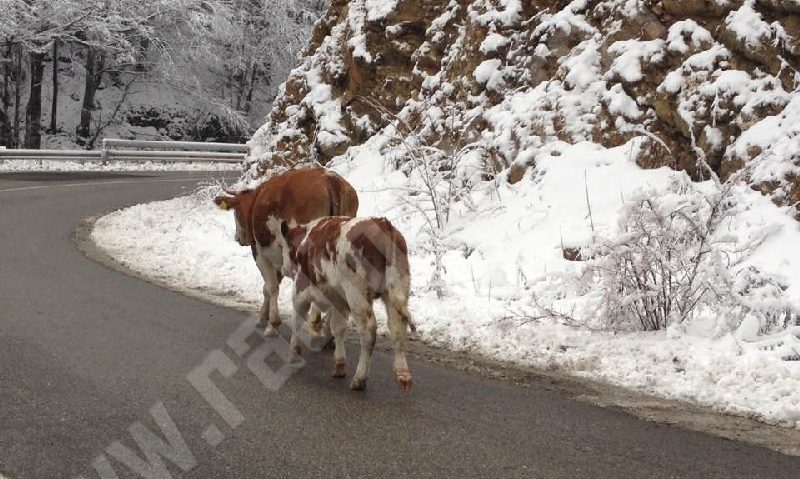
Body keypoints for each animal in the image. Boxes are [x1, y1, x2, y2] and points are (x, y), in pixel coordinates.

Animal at [216, 169, 360, 338]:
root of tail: (329, 178)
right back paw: (328, 330)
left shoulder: (260, 253)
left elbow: (271, 287)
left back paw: (316, 324)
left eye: (236, 213)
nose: (238, 238)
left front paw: (272, 324)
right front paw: (262, 317)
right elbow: (269, 287)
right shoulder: (280, 258)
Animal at [268, 218, 418, 394]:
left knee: (368, 331)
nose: (282, 269)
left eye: (282, 245)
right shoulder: (339, 300)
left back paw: (360, 378)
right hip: (397, 288)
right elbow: (338, 328)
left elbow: (297, 321)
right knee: (398, 327)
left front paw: (293, 353)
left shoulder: (300, 289)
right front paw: (339, 364)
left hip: (357, 294)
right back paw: (403, 375)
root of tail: (384, 224)